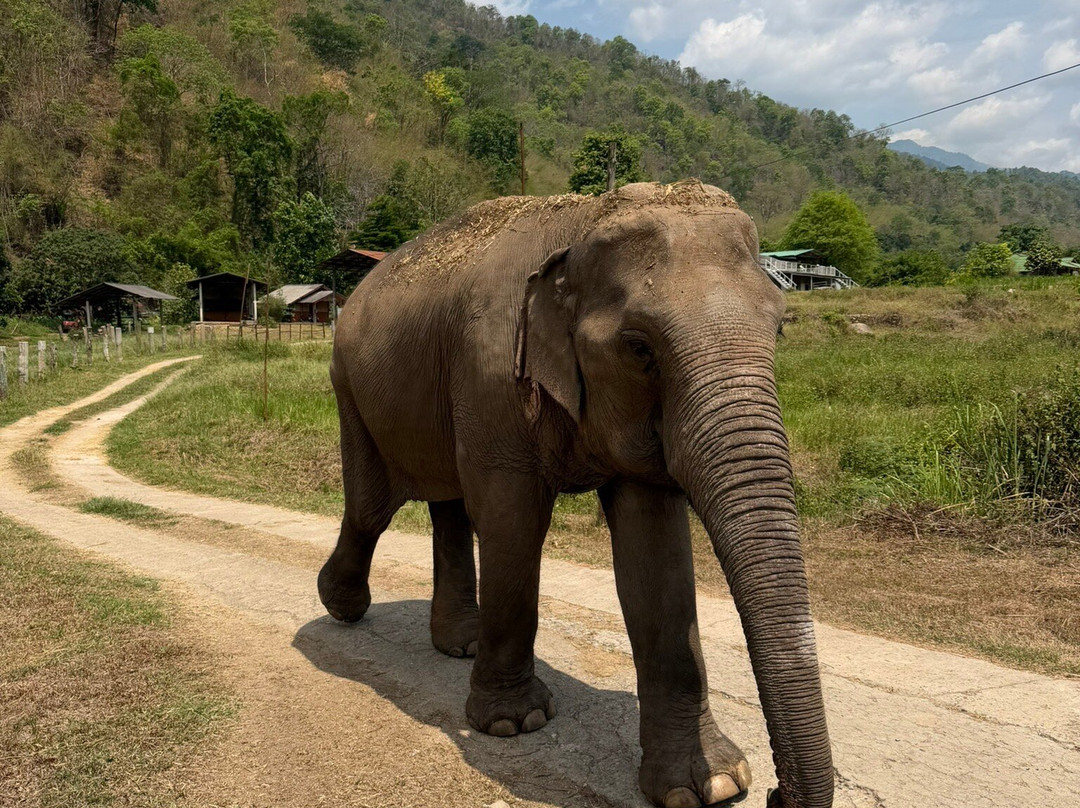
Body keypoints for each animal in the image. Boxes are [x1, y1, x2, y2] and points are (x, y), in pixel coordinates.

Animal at [319, 181, 833, 808]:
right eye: (639, 347)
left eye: (779, 329)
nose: (777, 794)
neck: (586, 217)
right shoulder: (491, 372)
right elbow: (513, 521)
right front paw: (514, 723)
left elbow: (654, 551)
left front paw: (710, 783)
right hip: (349, 388)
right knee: (372, 507)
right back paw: (342, 605)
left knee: (448, 506)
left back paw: (461, 644)